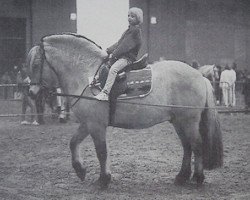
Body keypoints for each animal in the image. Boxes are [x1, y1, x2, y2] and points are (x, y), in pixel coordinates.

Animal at [27, 33, 223, 188]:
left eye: (36, 64)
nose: (31, 92)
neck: (87, 75)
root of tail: (200, 76)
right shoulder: (87, 123)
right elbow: (73, 142)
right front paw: (80, 170)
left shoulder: (96, 125)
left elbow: (101, 152)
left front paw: (103, 180)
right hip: (178, 121)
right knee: (187, 147)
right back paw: (182, 177)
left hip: (188, 121)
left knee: (196, 145)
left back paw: (198, 178)